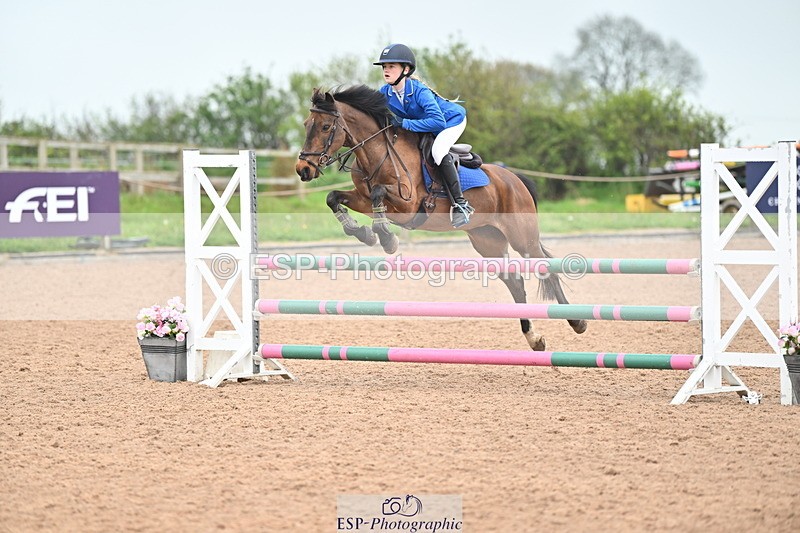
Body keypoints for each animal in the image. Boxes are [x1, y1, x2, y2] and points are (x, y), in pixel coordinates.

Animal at [295, 85, 586, 350]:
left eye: (324, 127)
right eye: (307, 124)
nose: (303, 169)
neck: (376, 152)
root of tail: (514, 179)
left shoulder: (407, 203)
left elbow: (378, 193)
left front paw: (386, 238)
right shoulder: (364, 200)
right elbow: (333, 197)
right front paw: (362, 233)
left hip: (522, 239)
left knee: (546, 268)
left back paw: (577, 321)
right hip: (488, 240)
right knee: (515, 282)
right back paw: (534, 338)